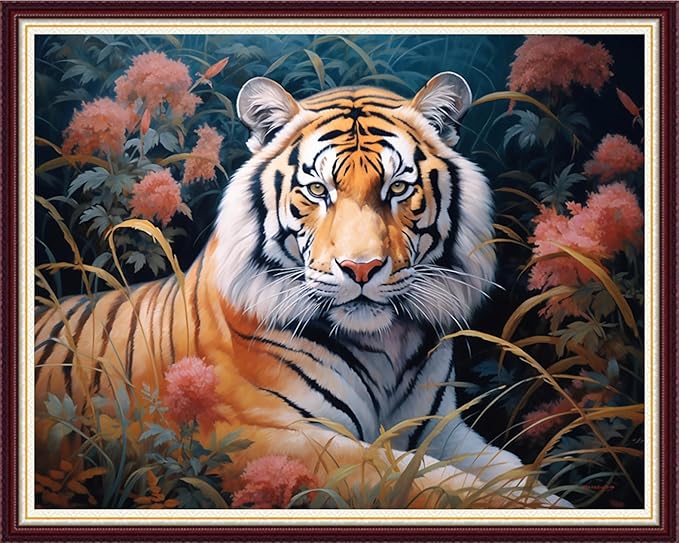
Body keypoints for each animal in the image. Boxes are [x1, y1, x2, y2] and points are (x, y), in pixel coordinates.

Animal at [35, 72, 570, 508]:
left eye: (397, 189)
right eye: (317, 191)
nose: (361, 268)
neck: (387, 347)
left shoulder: (444, 431)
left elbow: (512, 472)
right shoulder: (260, 434)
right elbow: (423, 480)